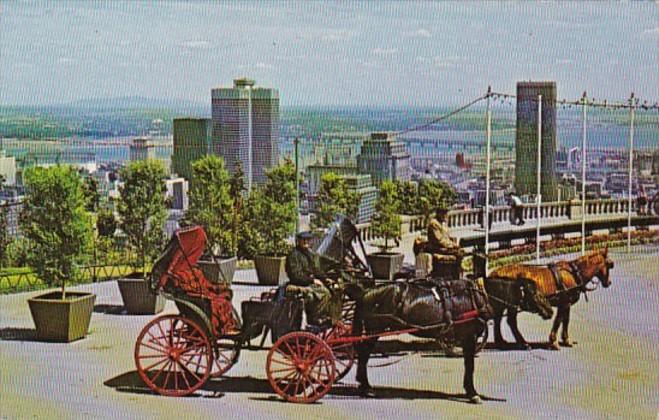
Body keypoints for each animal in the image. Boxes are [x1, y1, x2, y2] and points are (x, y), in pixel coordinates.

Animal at [354, 278, 492, 404]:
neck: (473, 296)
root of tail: (367, 291)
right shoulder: (469, 337)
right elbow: (470, 366)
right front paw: (472, 393)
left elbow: (468, 365)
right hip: (375, 330)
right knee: (364, 353)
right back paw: (366, 387)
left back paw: (364, 385)